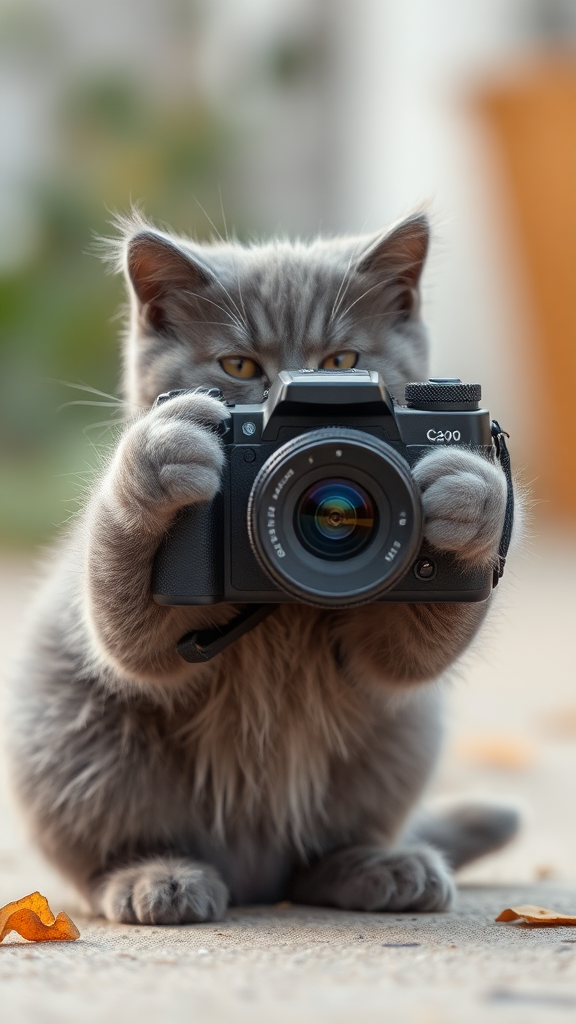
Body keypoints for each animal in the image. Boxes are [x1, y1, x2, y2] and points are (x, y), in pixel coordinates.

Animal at [7, 211, 516, 925]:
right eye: (239, 365)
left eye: (343, 361)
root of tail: (255, 879)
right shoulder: (135, 639)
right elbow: (128, 630)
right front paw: (159, 455)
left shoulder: (387, 656)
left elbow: (410, 656)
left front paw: (469, 493)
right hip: (75, 742)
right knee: (106, 850)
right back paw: (153, 876)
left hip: (402, 737)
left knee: (315, 859)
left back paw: (378, 868)